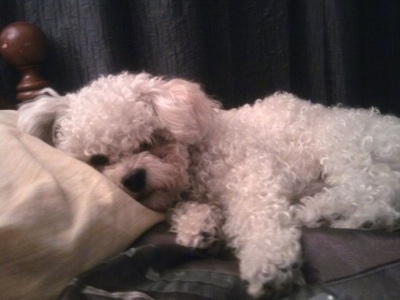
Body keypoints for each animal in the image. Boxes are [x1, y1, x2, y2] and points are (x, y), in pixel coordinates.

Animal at [18, 72, 400, 298]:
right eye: (98, 160)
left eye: (150, 140)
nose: (133, 178)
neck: (198, 157)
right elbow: (188, 211)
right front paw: (198, 226)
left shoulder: (252, 174)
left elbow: (256, 218)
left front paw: (268, 262)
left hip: (343, 144)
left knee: (376, 189)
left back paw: (326, 214)